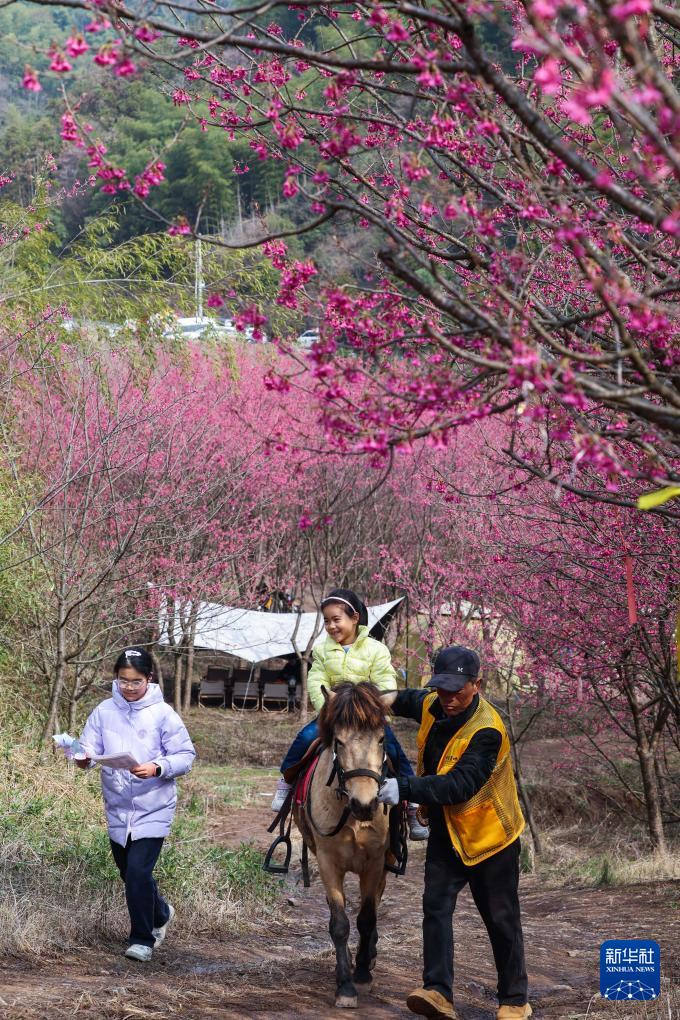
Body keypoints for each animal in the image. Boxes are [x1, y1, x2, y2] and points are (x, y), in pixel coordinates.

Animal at [293, 681, 393, 1007]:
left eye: (381, 738)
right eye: (338, 741)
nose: (365, 803)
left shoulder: (374, 863)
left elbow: (367, 918)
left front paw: (361, 974)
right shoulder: (328, 863)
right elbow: (340, 923)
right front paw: (345, 985)